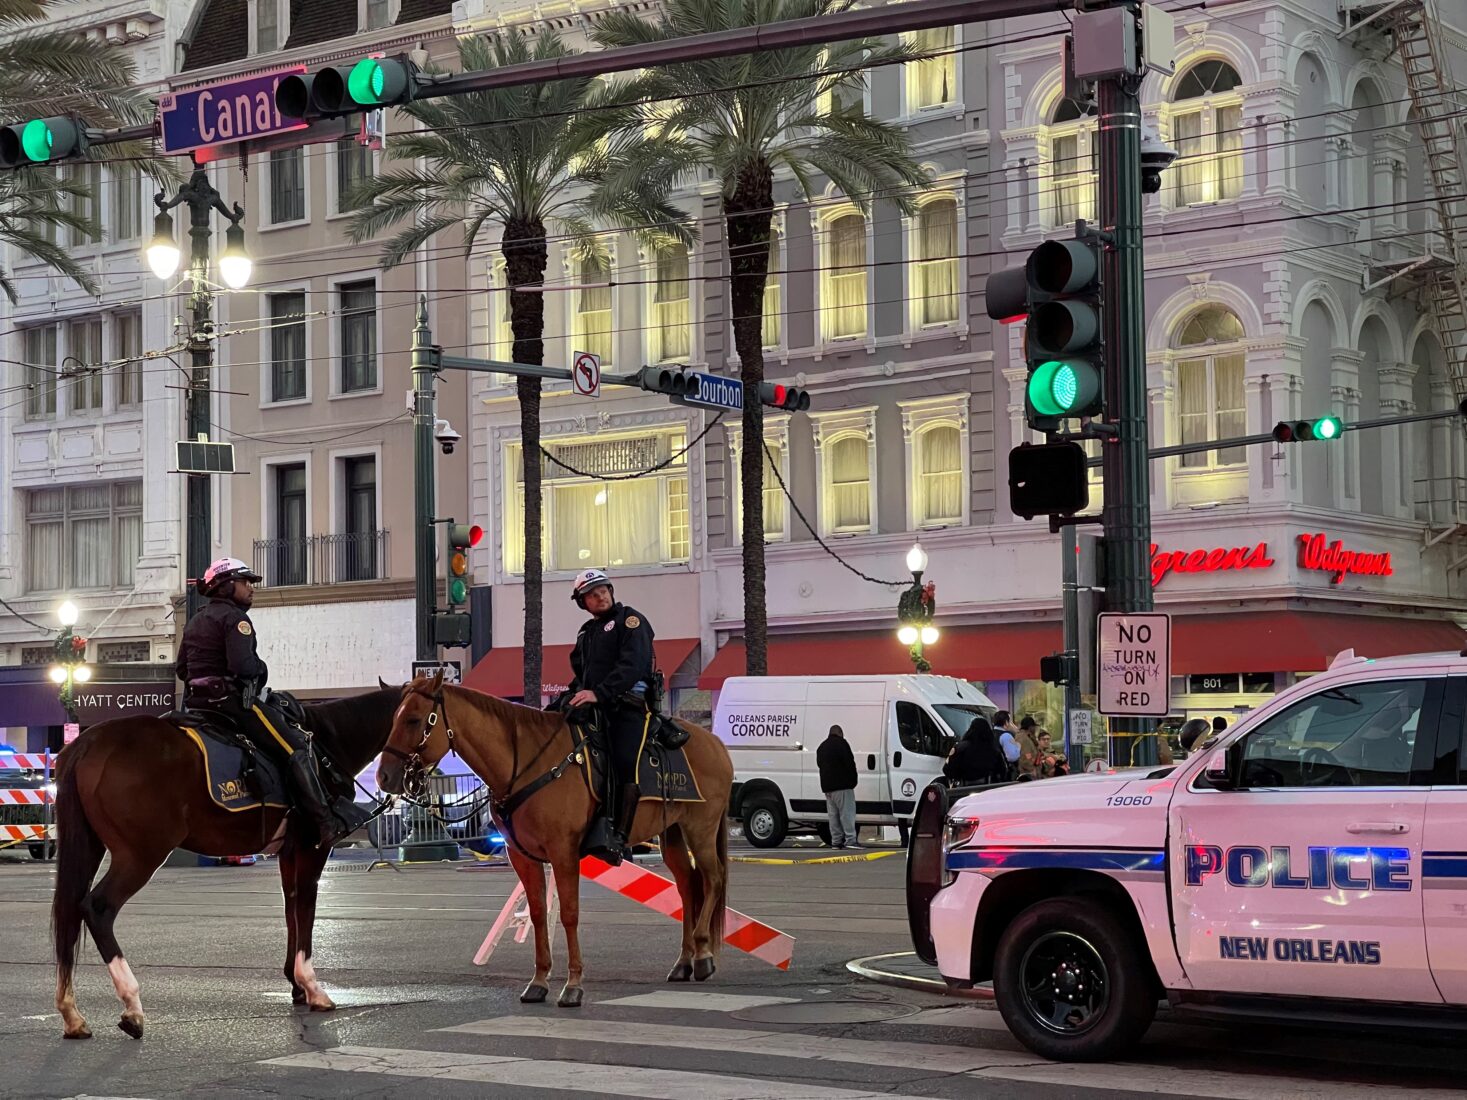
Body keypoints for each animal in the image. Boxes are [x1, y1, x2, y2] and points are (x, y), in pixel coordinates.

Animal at [49, 689, 401, 1044]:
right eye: (412, 719)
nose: (390, 778)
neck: (326, 742)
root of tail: (88, 742)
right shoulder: (312, 848)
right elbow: (305, 909)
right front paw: (312, 987)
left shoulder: (288, 852)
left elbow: (291, 909)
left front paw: (296, 986)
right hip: (139, 855)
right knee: (97, 908)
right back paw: (132, 1006)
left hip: (91, 845)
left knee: (70, 912)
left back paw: (72, 1014)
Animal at [378, 671, 733, 1009]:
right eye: (394, 717)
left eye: (414, 719)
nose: (384, 776)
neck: (525, 763)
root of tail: (714, 741)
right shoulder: (523, 857)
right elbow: (537, 915)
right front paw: (539, 981)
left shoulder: (564, 854)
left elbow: (569, 914)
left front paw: (573, 985)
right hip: (672, 832)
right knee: (688, 886)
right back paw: (684, 961)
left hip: (700, 829)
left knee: (713, 879)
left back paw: (703, 955)